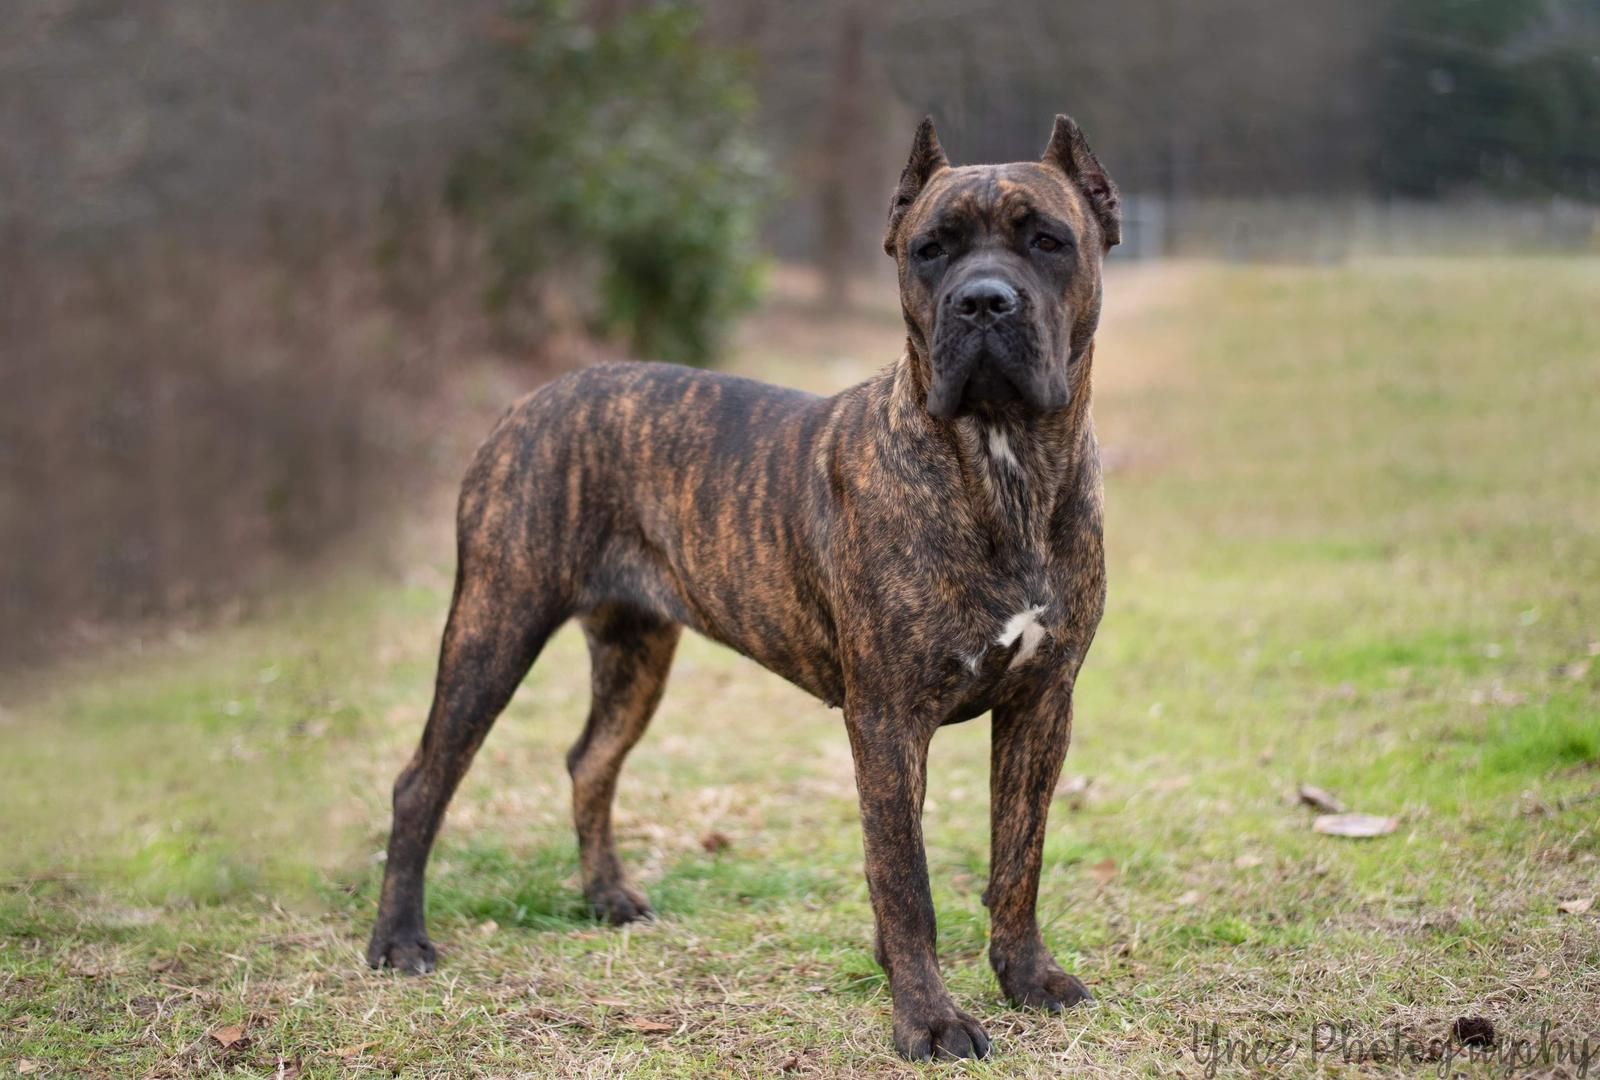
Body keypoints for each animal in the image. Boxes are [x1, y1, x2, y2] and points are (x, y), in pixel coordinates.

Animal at [366, 114, 1120, 1062]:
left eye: (1048, 241)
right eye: (931, 250)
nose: (982, 301)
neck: (1001, 460)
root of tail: (530, 400)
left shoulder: (1041, 702)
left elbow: (1017, 858)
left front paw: (1027, 978)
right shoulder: (887, 719)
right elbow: (904, 879)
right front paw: (929, 1018)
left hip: (634, 652)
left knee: (590, 759)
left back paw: (606, 897)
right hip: (494, 626)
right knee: (423, 779)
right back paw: (398, 941)